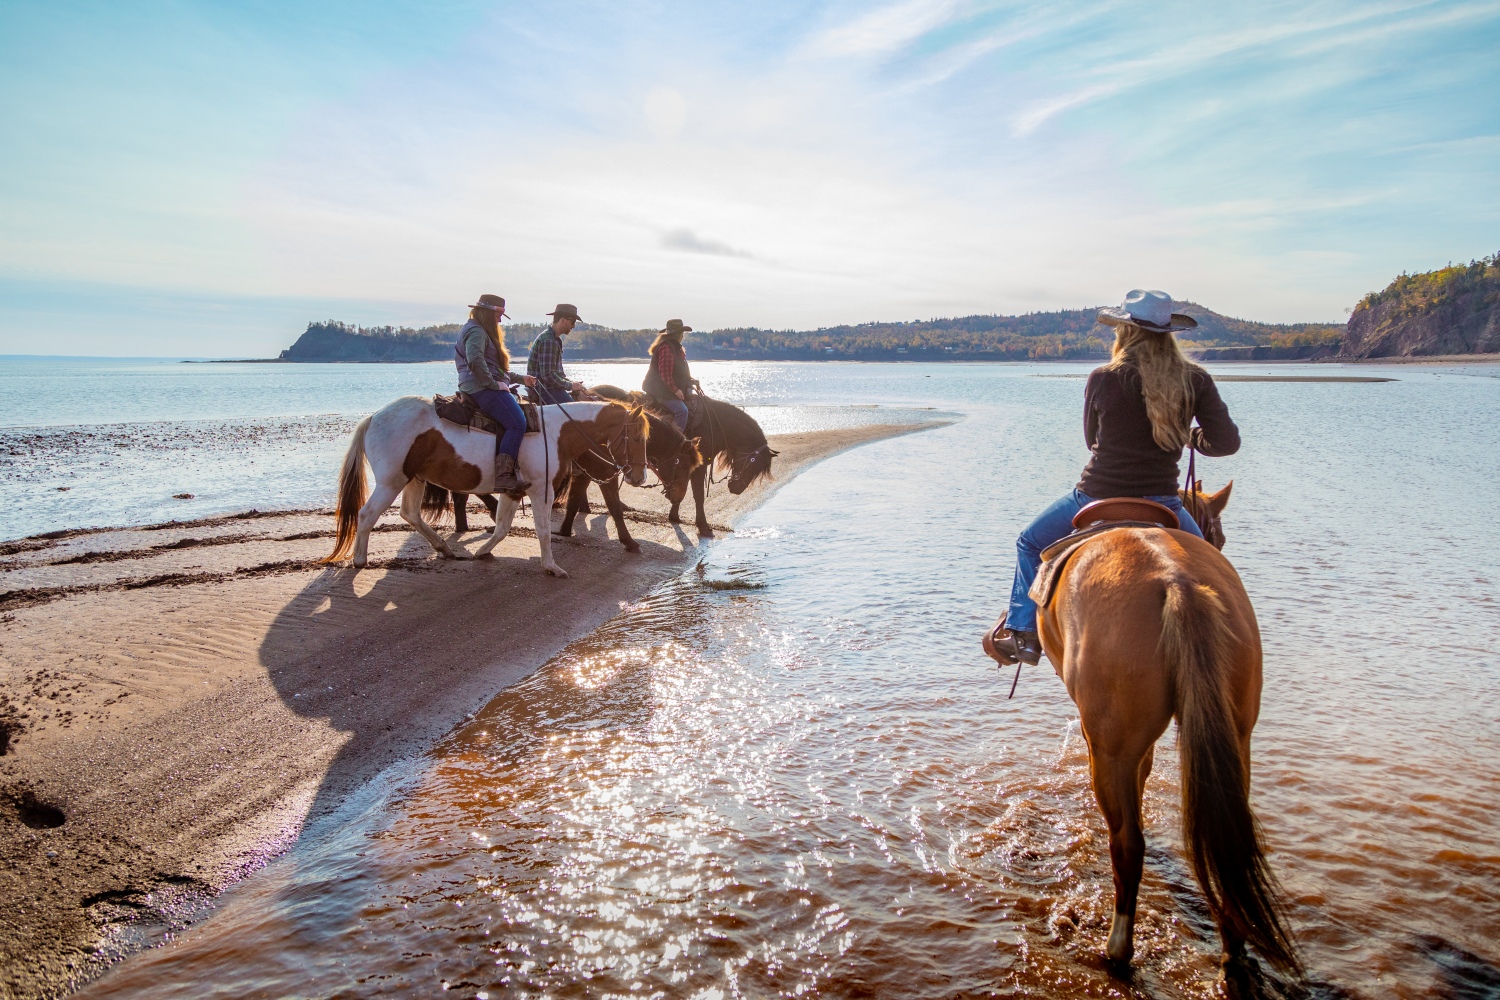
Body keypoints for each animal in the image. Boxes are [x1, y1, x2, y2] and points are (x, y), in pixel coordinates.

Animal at [325, 395, 648, 575]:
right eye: (636, 437)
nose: (639, 477)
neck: (557, 432)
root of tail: (374, 417)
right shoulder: (541, 490)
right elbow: (542, 530)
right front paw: (551, 567)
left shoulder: (514, 491)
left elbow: (502, 527)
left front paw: (483, 552)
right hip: (391, 481)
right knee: (367, 514)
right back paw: (360, 560)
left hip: (413, 479)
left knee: (410, 514)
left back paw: (443, 547)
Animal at [588, 386, 780, 539]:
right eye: (753, 462)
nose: (736, 489)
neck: (715, 424)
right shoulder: (698, 467)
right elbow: (697, 495)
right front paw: (703, 526)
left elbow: (681, 486)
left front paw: (674, 513)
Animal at [1032, 479, 1302, 989]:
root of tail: (1176, 582)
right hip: (1237, 736)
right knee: (1229, 846)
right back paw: (1234, 950)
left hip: (1111, 746)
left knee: (1127, 845)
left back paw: (1117, 949)